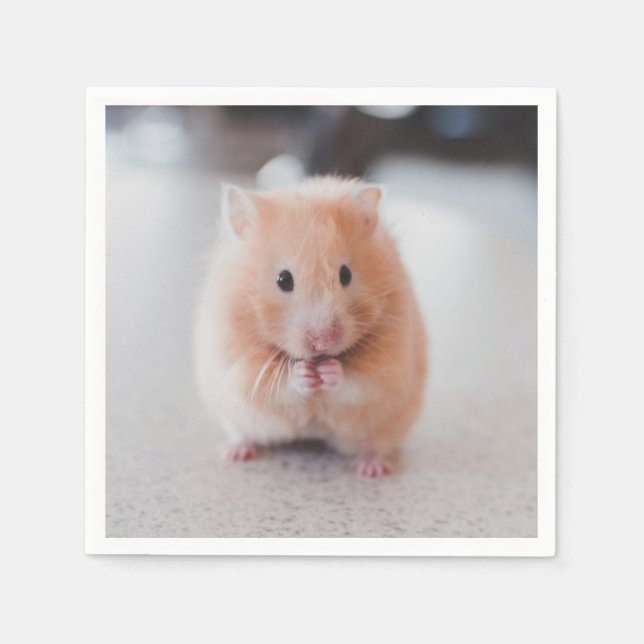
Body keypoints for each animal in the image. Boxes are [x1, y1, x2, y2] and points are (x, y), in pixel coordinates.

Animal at [194, 176, 427, 477]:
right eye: (283, 280)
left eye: (345, 274)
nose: (323, 342)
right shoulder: (238, 362)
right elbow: (277, 384)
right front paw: (304, 374)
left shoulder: (388, 364)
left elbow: (358, 381)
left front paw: (329, 371)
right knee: (243, 433)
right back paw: (234, 452)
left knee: (375, 445)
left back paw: (371, 469)